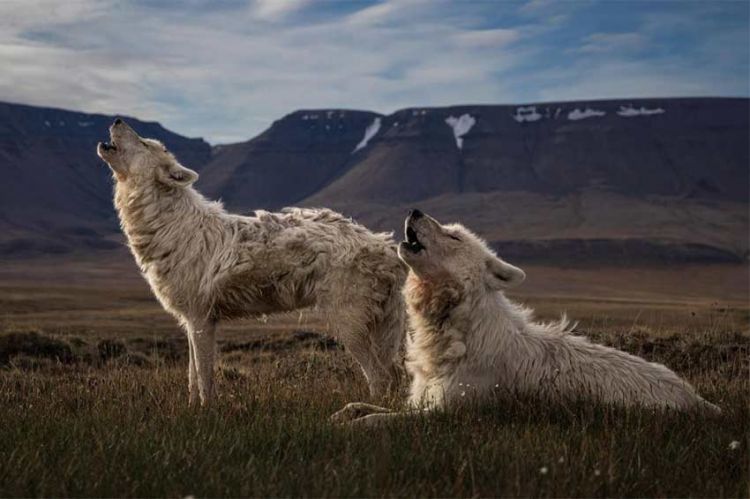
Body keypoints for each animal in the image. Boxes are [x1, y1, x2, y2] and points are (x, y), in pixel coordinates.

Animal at [98, 120, 412, 406]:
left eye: (145, 143)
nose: (117, 119)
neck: (170, 225)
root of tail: (387, 247)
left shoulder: (201, 320)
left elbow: (205, 379)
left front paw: (206, 414)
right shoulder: (189, 321)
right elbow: (192, 379)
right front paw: (190, 412)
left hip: (347, 326)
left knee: (381, 377)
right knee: (394, 375)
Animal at [336, 211, 724, 426]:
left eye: (453, 235)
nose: (415, 210)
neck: (455, 332)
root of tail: (700, 401)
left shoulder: (446, 415)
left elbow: (375, 420)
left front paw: (346, 428)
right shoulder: (420, 400)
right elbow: (359, 405)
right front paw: (340, 415)